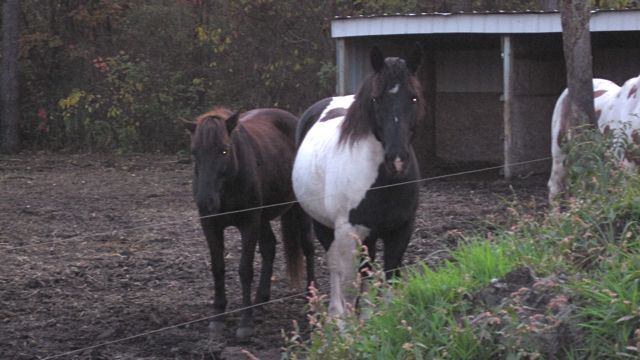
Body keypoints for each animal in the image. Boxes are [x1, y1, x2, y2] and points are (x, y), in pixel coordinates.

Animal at [184, 107, 314, 340]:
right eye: (194, 152)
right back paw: (260, 301)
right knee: (269, 247)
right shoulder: (210, 225)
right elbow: (218, 267)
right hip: (263, 219)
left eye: (224, 151)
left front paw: (245, 321)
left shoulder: (249, 223)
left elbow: (245, 270)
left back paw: (310, 296)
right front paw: (218, 315)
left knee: (307, 246)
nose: (205, 201)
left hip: (297, 208)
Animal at [292, 46, 422, 316]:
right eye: (376, 99)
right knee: (335, 267)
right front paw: (349, 324)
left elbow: (389, 279)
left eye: (413, 98)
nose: (397, 160)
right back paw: (335, 314)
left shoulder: (400, 230)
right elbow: (351, 286)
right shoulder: (349, 234)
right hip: (324, 226)